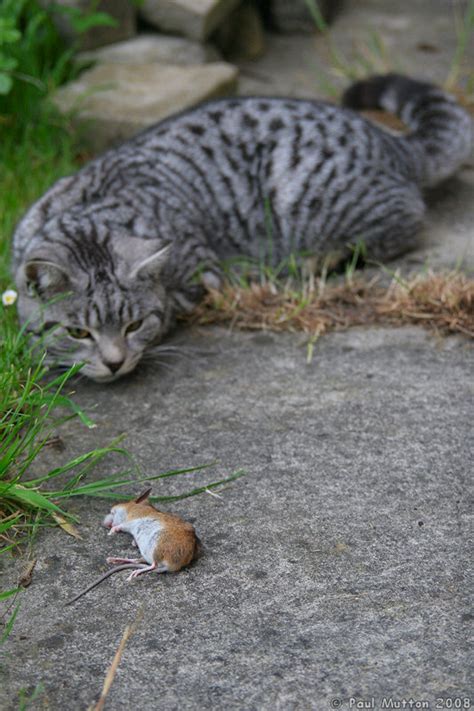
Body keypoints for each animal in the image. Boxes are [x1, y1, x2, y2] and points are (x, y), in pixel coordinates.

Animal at [12, 74, 474, 382]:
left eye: (134, 325)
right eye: (78, 332)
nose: (114, 362)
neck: (94, 207)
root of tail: (388, 139)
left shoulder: (199, 272)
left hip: (308, 193)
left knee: (403, 221)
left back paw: (312, 260)